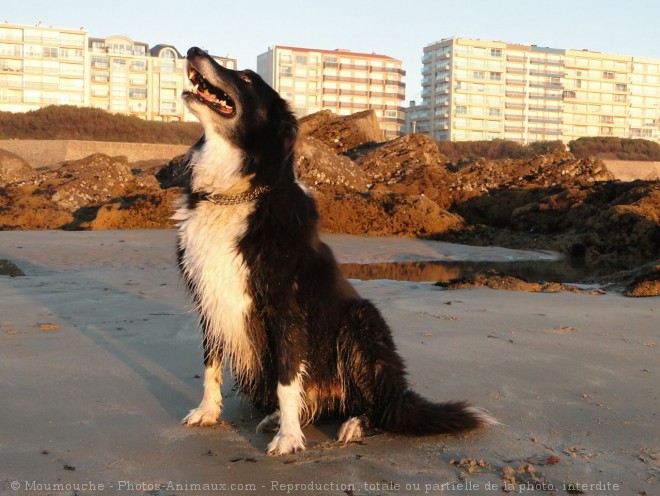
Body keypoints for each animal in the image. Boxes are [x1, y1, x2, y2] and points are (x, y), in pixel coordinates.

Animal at [175, 48, 496, 456]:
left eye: (246, 78)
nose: (193, 51)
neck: (234, 191)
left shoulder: (285, 306)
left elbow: (287, 378)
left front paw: (289, 438)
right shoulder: (208, 296)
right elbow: (210, 363)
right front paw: (208, 411)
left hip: (360, 321)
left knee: (378, 407)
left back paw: (353, 424)